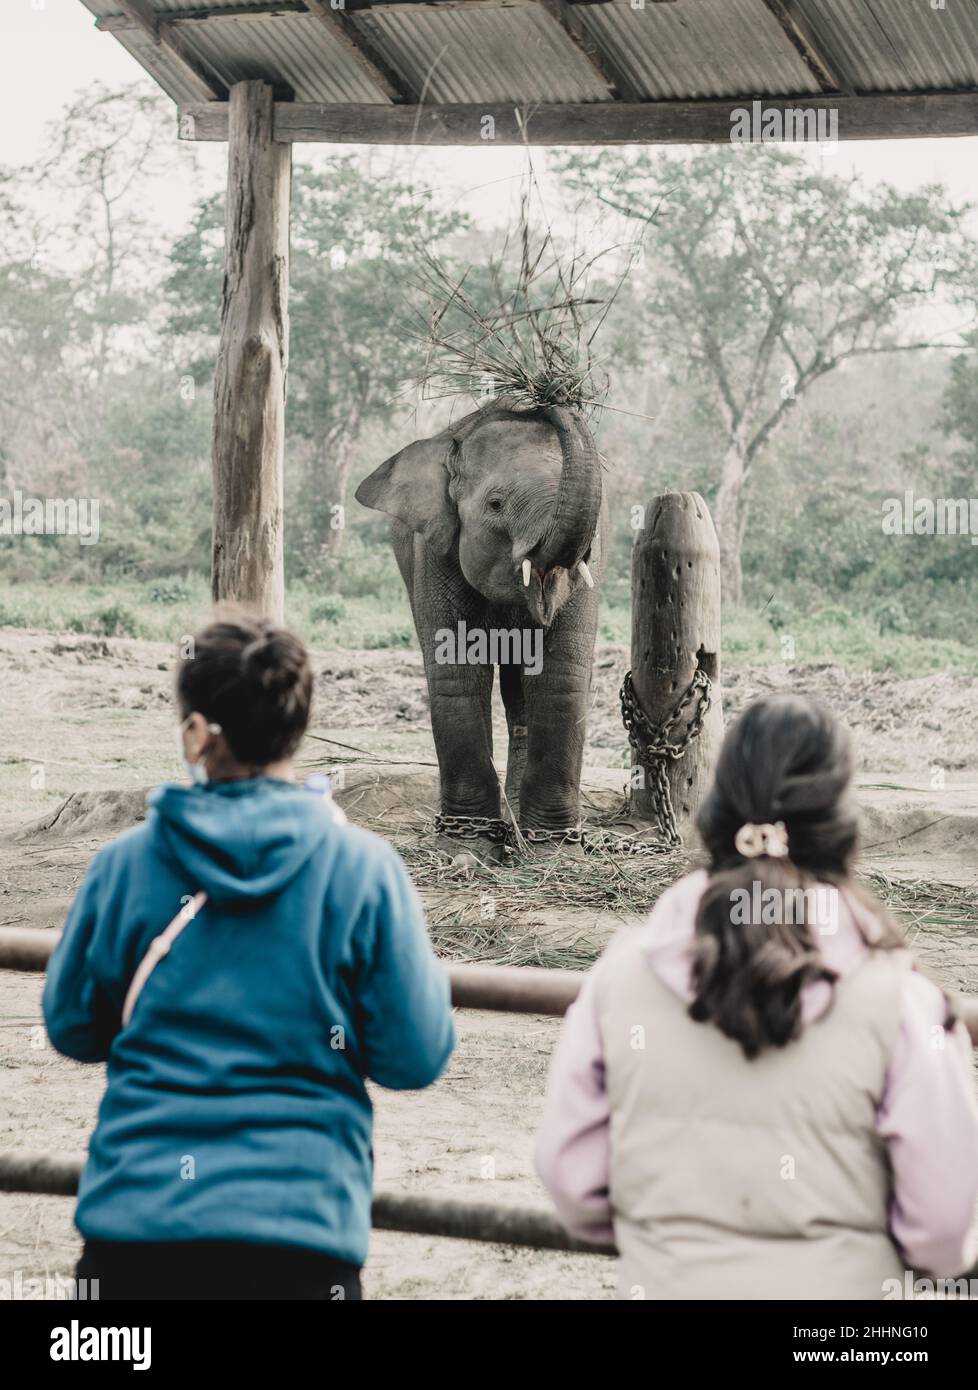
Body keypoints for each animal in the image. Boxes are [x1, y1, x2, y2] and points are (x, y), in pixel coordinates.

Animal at [355, 397, 608, 850]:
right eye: (495, 504)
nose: (548, 398)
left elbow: (558, 674)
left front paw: (553, 850)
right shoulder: (433, 551)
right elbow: (456, 671)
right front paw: (466, 850)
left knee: (520, 690)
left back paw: (519, 827)